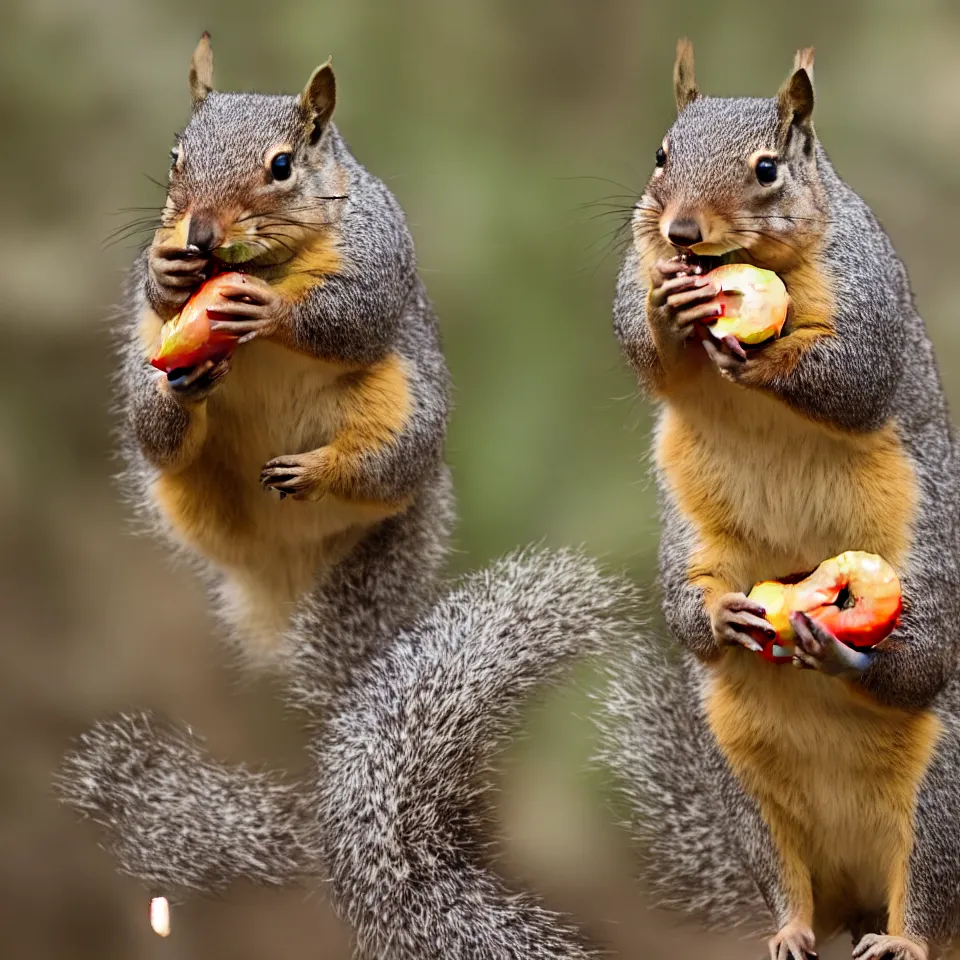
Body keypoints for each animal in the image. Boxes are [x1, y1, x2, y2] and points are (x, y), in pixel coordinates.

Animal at [123, 35, 454, 668]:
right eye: (176, 155)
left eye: (282, 166)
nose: (199, 236)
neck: (262, 264)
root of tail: (287, 561)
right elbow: (153, 290)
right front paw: (166, 271)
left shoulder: (377, 248)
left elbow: (354, 315)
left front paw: (271, 311)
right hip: (164, 451)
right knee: (164, 436)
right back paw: (186, 389)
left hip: (405, 413)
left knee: (375, 465)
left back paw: (317, 468)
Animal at [604, 35, 960, 960]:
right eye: (660, 156)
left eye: (767, 169)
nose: (682, 231)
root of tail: (858, 901)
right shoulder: (635, 270)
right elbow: (639, 343)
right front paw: (666, 309)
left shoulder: (863, 291)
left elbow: (853, 375)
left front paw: (763, 359)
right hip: (747, 782)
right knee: (791, 882)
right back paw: (793, 930)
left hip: (943, 772)